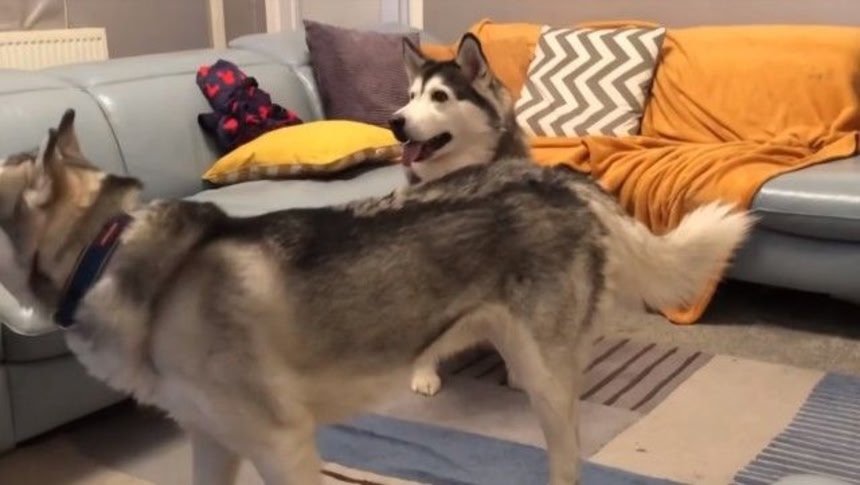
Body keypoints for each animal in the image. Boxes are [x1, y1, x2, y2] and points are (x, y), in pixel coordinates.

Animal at [0, 110, 751, 485]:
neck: (107, 252)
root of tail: (555, 178)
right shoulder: (213, 442)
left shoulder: (281, 444)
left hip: (544, 376)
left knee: (566, 464)